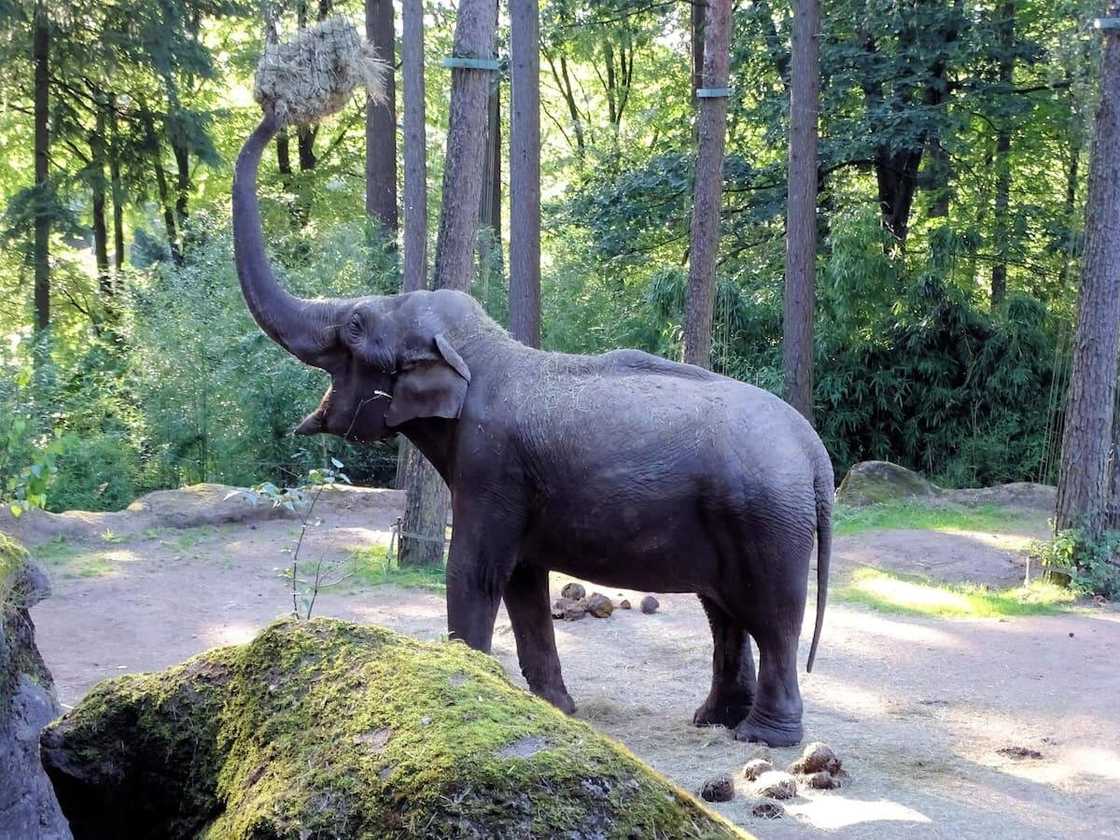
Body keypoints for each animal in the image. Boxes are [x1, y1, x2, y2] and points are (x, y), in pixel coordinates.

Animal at [232, 113, 834, 747]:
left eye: (353, 325)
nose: (277, 108)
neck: (482, 349)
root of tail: (814, 453)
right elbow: (523, 578)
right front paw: (556, 710)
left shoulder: (491, 465)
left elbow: (475, 570)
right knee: (724, 610)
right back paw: (716, 720)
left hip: (767, 520)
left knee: (772, 618)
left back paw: (763, 738)